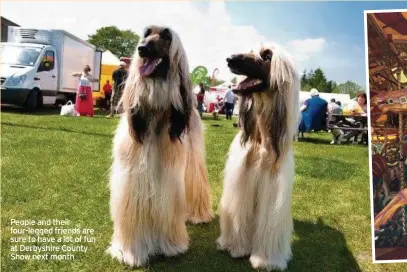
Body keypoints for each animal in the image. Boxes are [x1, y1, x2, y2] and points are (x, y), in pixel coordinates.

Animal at [108, 26, 215, 266]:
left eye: (166, 36)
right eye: (146, 33)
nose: (142, 49)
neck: (155, 112)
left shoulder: (168, 175)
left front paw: (170, 245)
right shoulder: (133, 174)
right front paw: (131, 252)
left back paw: (198, 215)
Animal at [218, 43, 302, 270]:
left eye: (267, 56)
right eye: (250, 49)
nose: (229, 59)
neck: (263, 140)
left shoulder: (273, 185)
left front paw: (265, 259)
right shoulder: (243, 177)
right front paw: (236, 247)